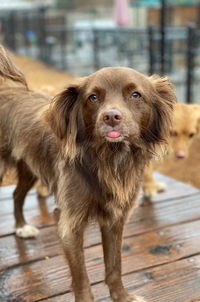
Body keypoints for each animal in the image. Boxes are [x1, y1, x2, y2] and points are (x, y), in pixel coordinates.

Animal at [0, 45, 176, 302]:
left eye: (136, 95)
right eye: (93, 97)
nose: (111, 116)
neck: (109, 159)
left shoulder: (115, 220)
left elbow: (114, 266)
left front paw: (122, 296)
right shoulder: (69, 225)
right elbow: (82, 278)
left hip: (29, 167)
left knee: (16, 195)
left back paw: (22, 227)